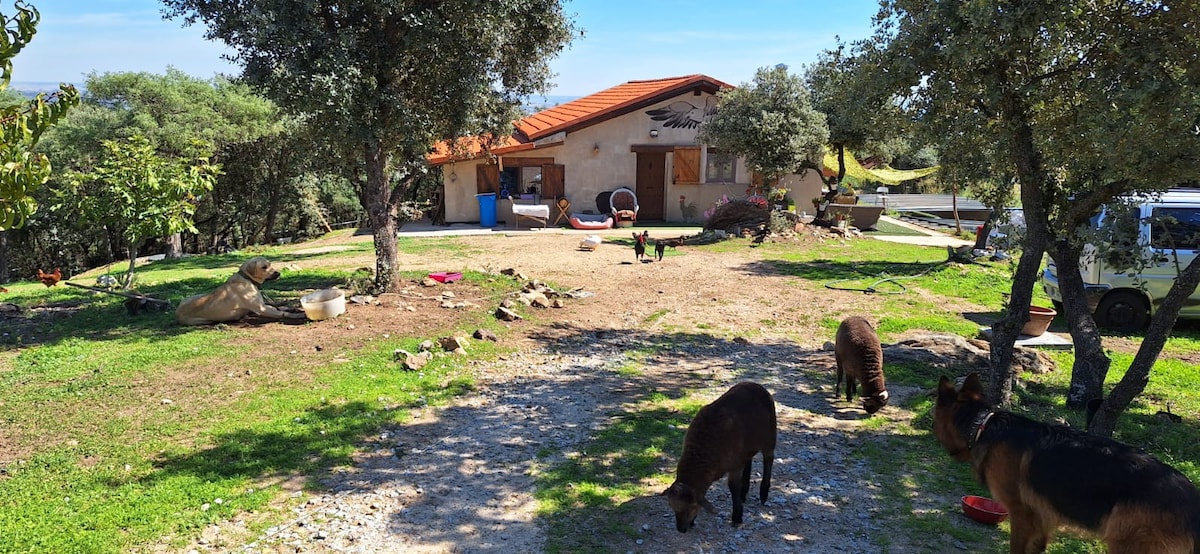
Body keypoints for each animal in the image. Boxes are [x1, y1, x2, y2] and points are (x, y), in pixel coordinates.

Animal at [178, 257, 312, 326]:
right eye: (264, 267)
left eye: (270, 264)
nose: (278, 273)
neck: (248, 279)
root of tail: (177, 311)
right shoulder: (262, 308)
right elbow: (283, 313)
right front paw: (298, 315)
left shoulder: (261, 305)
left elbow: (281, 307)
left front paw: (290, 308)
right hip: (203, 320)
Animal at [662, 381, 772, 532]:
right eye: (672, 508)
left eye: (692, 507)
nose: (681, 530)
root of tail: (754, 384)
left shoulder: (735, 465)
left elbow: (733, 487)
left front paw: (737, 517)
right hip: (748, 447)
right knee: (749, 461)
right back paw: (744, 493)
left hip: (770, 437)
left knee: (768, 459)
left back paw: (763, 494)